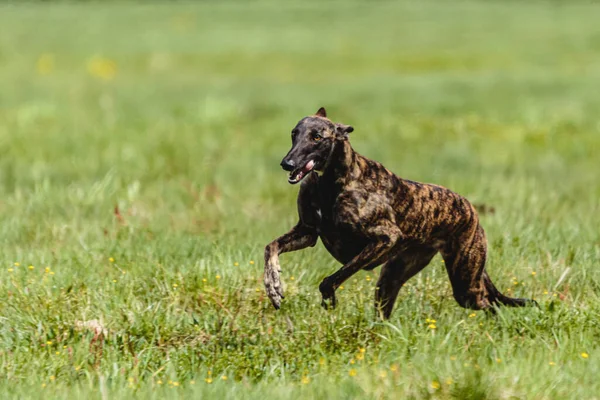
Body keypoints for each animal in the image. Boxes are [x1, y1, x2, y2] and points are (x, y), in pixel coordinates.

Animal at [262, 107, 536, 318]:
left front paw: (328, 298)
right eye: (294, 134)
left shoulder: (386, 237)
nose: (287, 163)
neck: (332, 181)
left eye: (317, 137)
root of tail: (471, 210)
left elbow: (330, 279)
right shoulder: (307, 232)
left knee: (492, 305)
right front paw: (273, 286)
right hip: (393, 279)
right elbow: (270, 247)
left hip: (466, 283)